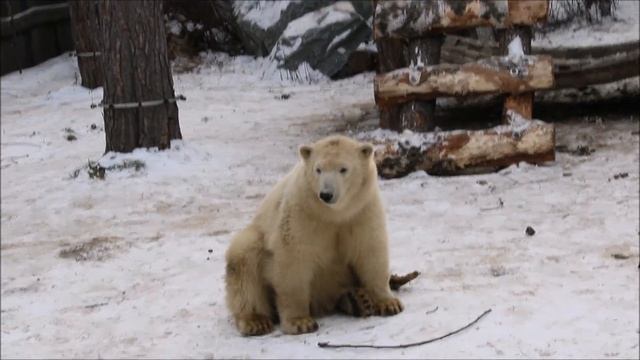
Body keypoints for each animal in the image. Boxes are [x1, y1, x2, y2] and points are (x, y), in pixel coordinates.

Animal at [225, 134, 402, 334]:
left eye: (343, 169)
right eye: (318, 169)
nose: (326, 194)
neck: (333, 213)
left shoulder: (362, 210)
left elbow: (370, 251)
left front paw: (389, 304)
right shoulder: (302, 212)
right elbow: (294, 260)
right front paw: (300, 322)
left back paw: (357, 301)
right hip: (257, 240)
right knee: (244, 258)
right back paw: (256, 321)